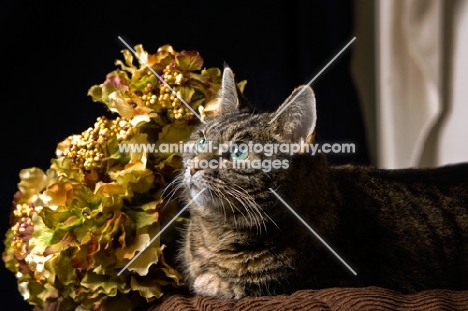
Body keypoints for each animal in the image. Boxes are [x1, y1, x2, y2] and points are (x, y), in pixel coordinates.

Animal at [172, 67, 468, 302]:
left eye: (239, 153)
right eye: (201, 140)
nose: (193, 165)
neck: (215, 234)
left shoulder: (342, 282)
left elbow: (229, 285)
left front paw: (212, 282)